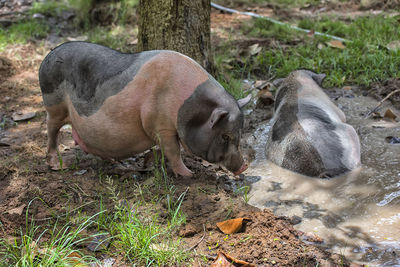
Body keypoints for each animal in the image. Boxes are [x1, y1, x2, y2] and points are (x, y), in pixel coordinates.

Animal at [38, 42, 250, 178]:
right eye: (226, 136)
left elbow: (164, 150)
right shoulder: (159, 124)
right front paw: (189, 175)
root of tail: (48, 56)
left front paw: (149, 163)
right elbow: (173, 150)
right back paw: (57, 165)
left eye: (240, 132)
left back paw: (116, 163)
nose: (244, 166)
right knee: (51, 129)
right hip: (53, 102)